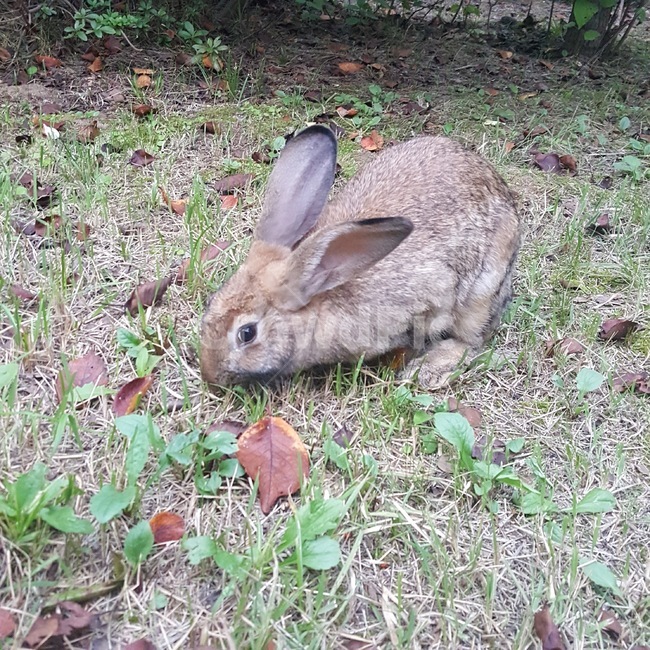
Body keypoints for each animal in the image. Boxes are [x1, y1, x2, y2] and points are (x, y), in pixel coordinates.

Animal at [199, 124, 521, 389]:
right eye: (211, 302)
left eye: (247, 333)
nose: (210, 375)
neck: (322, 287)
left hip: (482, 293)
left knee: (473, 339)